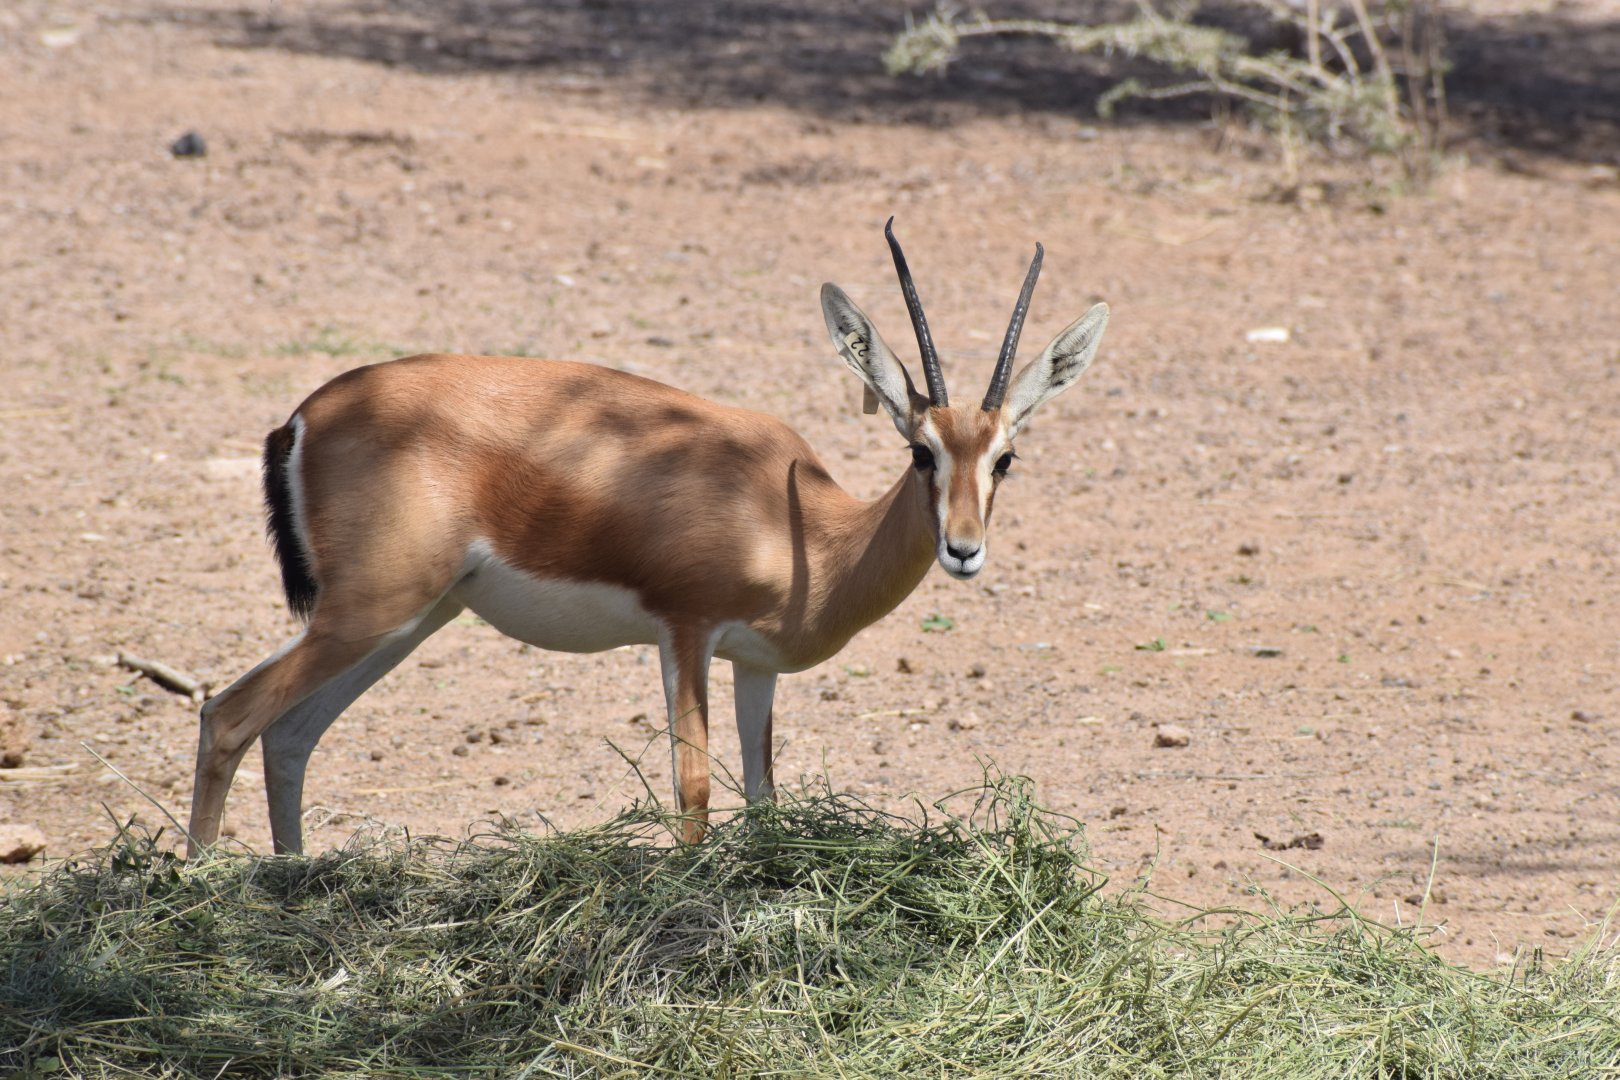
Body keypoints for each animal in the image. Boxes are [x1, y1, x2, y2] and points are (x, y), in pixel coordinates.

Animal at [187, 220, 1109, 855]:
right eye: (922, 451)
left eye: (1005, 457)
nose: (963, 548)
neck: (804, 529)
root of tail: (301, 416)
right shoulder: (686, 630)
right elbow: (694, 792)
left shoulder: (753, 664)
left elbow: (764, 797)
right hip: (372, 612)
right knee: (228, 713)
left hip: (408, 619)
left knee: (290, 734)